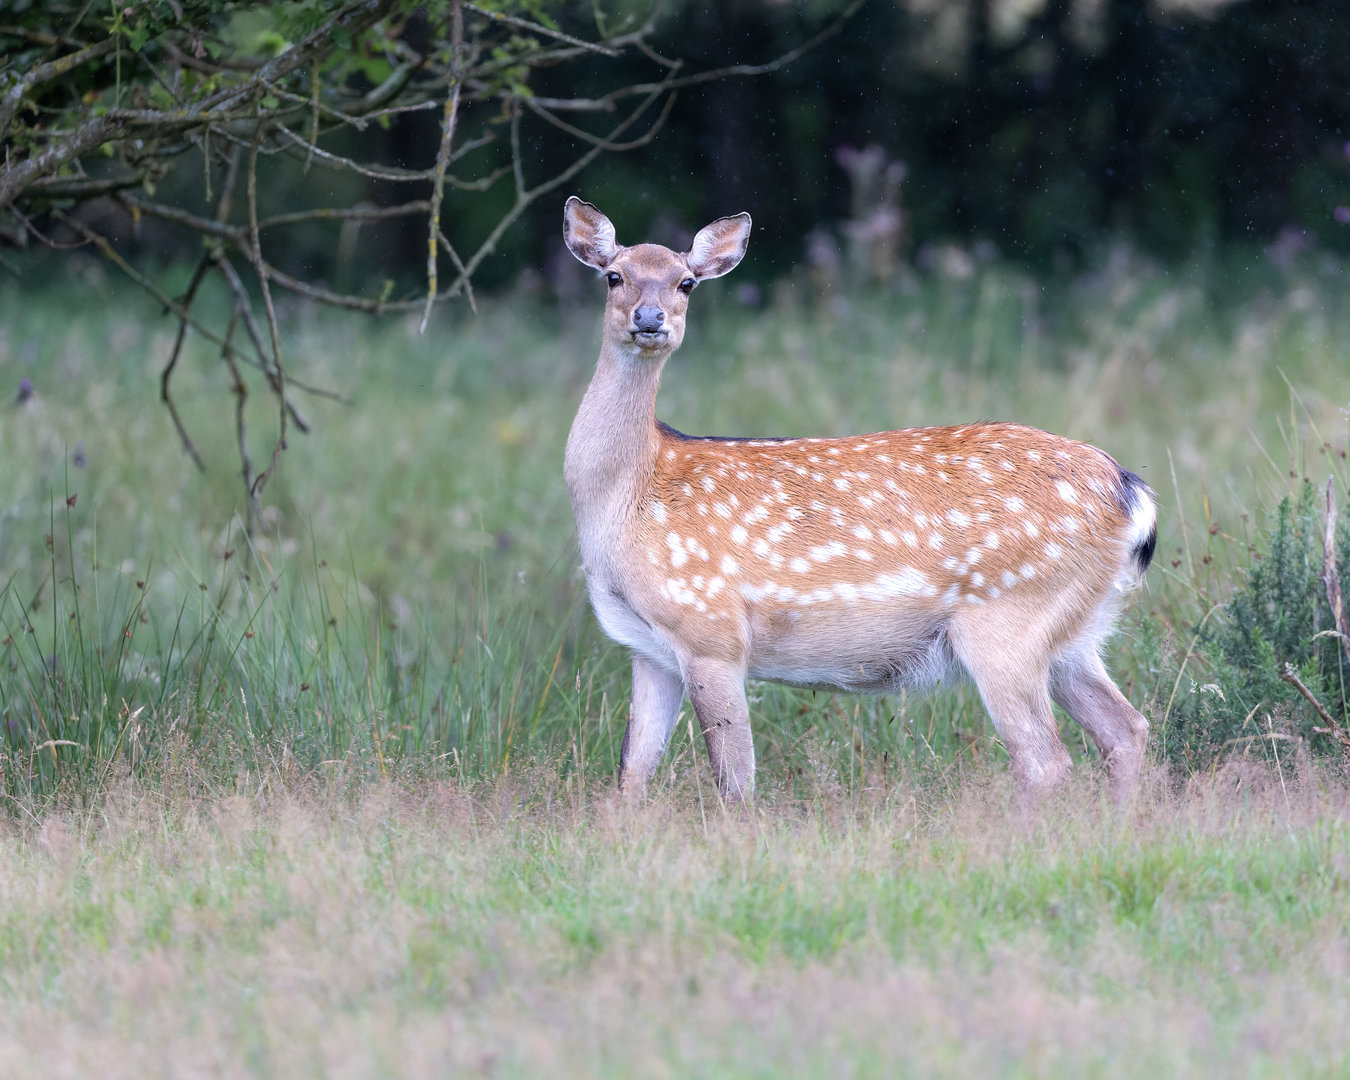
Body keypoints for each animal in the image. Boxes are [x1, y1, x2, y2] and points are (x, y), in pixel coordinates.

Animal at [562, 196, 1156, 807]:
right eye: (614, 276)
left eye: (686, 283)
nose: (650, 318)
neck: (629, 498)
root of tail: (1130, 493)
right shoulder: (647, 650)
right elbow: (631, 775)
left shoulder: (710, 628)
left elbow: (735, 781)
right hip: (1074, 634)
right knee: (1126, 728)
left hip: (1009, 616)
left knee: (1046, 760)